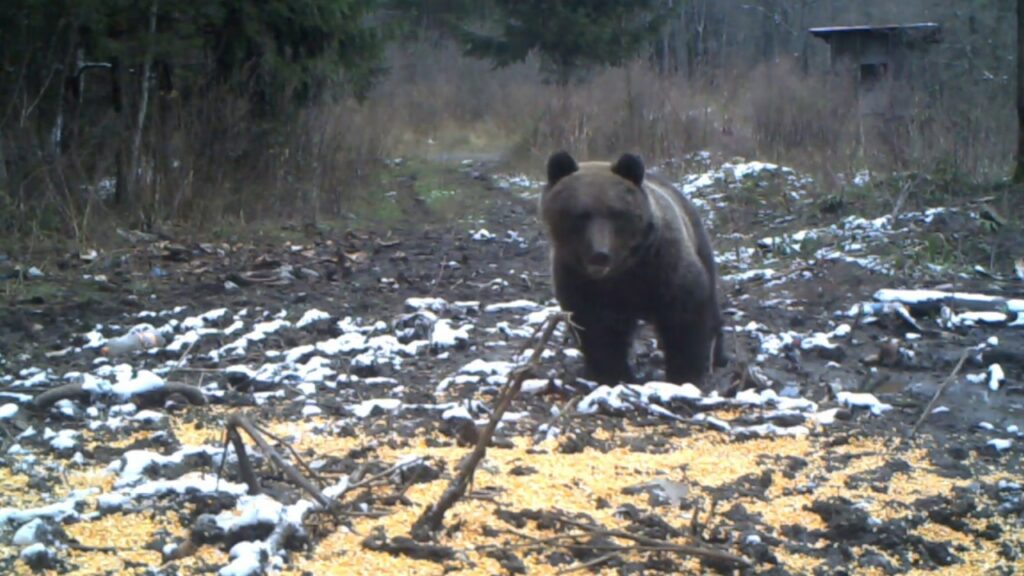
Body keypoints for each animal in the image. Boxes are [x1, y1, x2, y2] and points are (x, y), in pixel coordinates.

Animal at [540, 150, 724, 387]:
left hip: (699, 242)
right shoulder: (579, 279)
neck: (623, 271)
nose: (600, 254)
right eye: (581, 214)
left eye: (616, 213)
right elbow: (596, 328)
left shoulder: (663, 266)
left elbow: (686, 314)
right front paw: (613, 373)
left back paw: (718, 356)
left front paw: (685, 374)